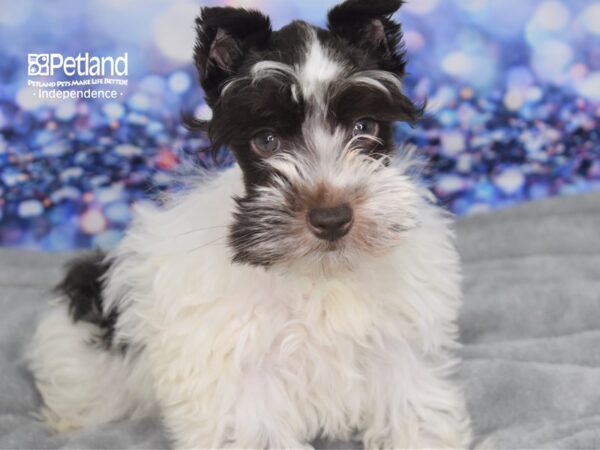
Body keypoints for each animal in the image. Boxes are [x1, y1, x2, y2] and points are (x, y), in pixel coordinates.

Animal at [29, 1, 474, 448]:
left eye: (363, 128)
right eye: (266, 141)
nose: (331, 219)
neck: (317, 272)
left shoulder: (397, 347)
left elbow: (410, 405)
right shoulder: (241, 380)